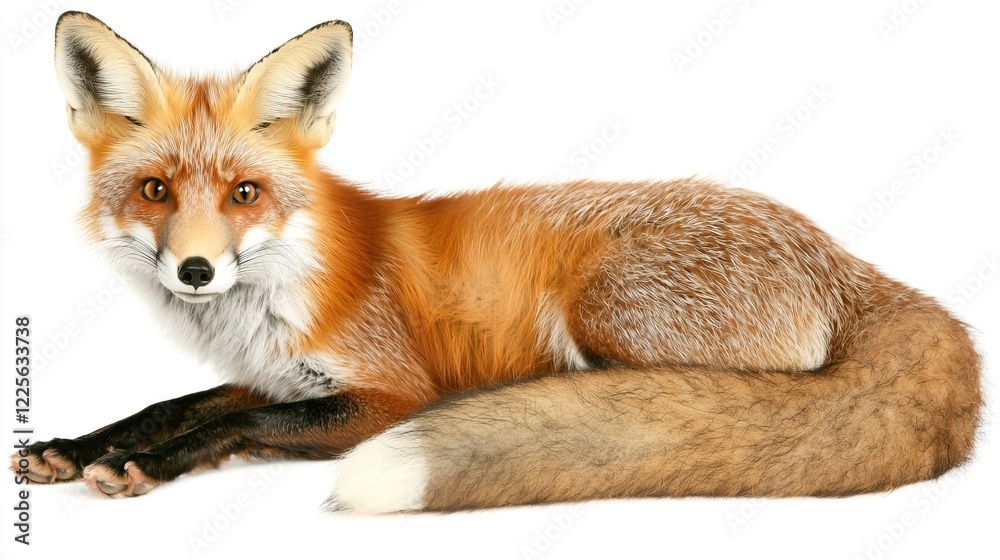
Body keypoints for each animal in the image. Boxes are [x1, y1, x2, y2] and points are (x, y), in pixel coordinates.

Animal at [10, 11, 981, 513]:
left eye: (245, 193)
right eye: (156, 192)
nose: (196, 272)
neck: (277, 293)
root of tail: (847, 264)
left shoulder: (386, 393)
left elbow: (236, 423)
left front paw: (149, 466)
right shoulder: (281, 372)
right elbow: (174, 404)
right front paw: (77, 446)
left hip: (605, 303)